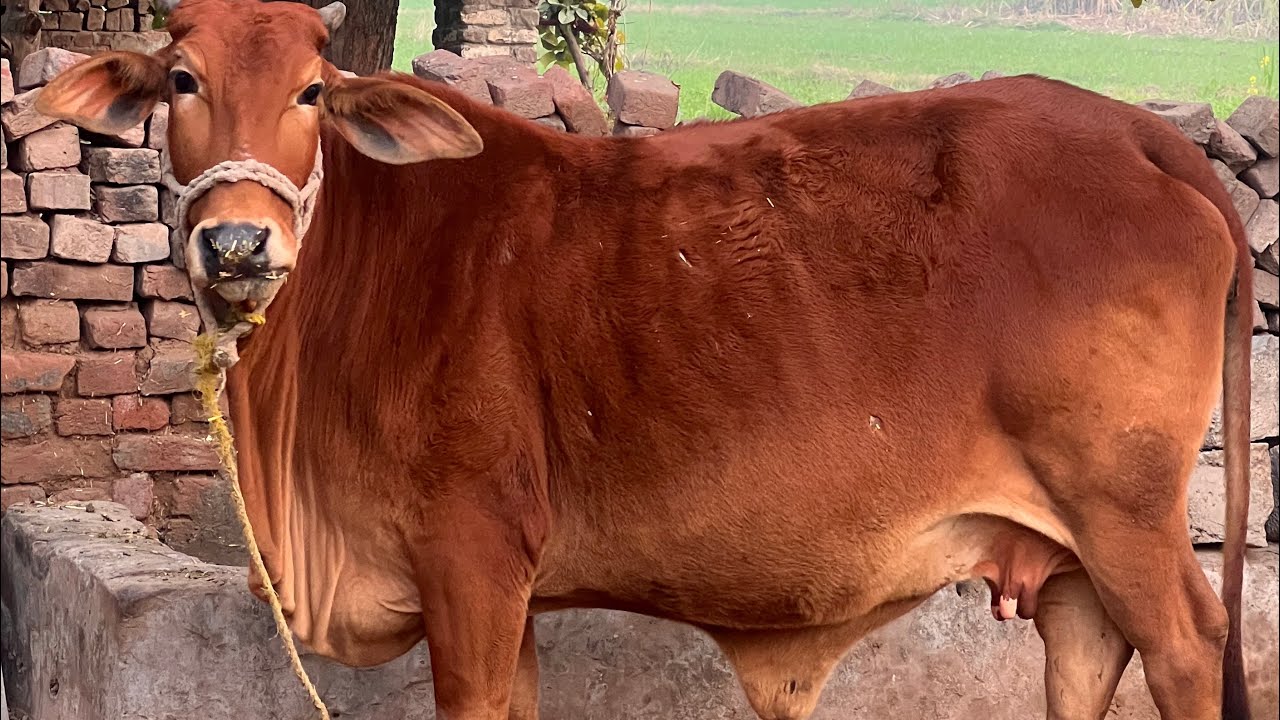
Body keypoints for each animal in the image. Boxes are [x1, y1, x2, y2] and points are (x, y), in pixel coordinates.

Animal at [35, 1, 1254, 718]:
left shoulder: (471, 562)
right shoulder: (506, 591)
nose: (239, 244)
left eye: (311, 89)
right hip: (1074, 550)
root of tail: (1137, 133)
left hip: (1122, 510)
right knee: (1086, 653)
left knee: (1189, 649)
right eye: (182, 80)